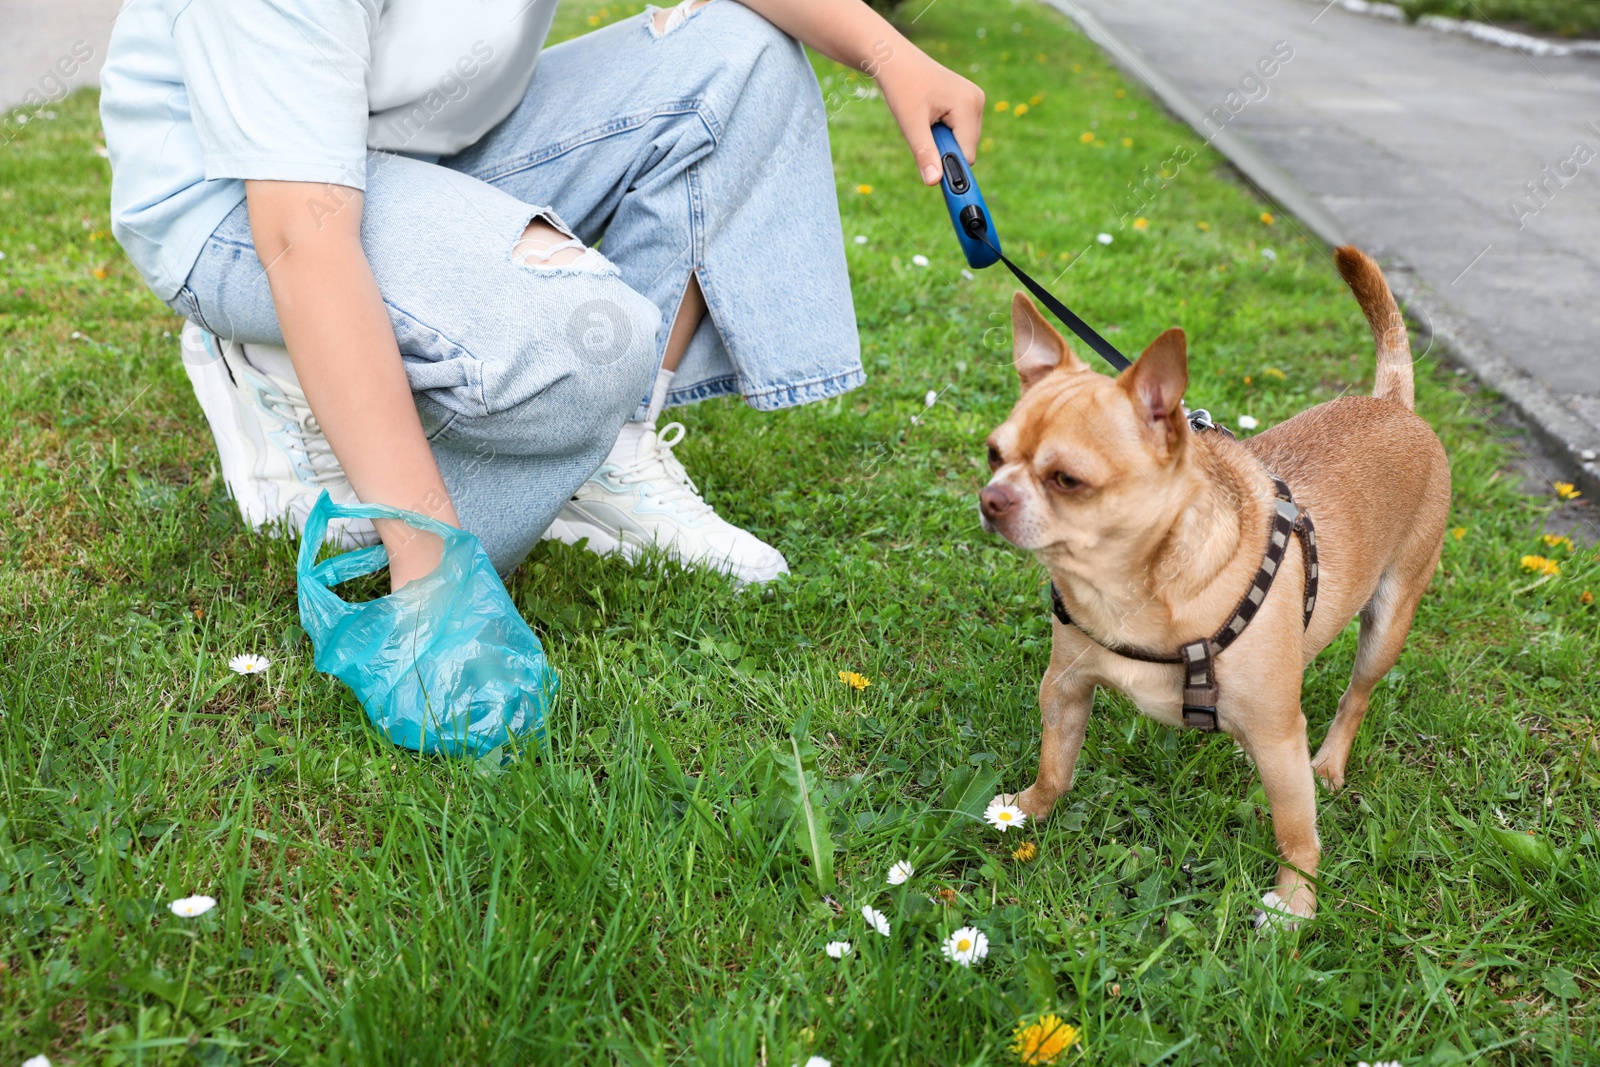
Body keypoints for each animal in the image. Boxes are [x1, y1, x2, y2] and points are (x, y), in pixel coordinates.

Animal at [979, 246, 1459, 921]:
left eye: (1067, 480)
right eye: (994, 456)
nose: (991, 499)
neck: (1132, 588)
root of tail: (1394, 404)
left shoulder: (1281, 741)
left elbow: (1296, 831)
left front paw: (1295, 905)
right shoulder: (1064, 689)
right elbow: (1056, 767)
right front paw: (1026, 810)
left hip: (1388, 623)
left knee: (1354, 698)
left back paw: (1328, 765)